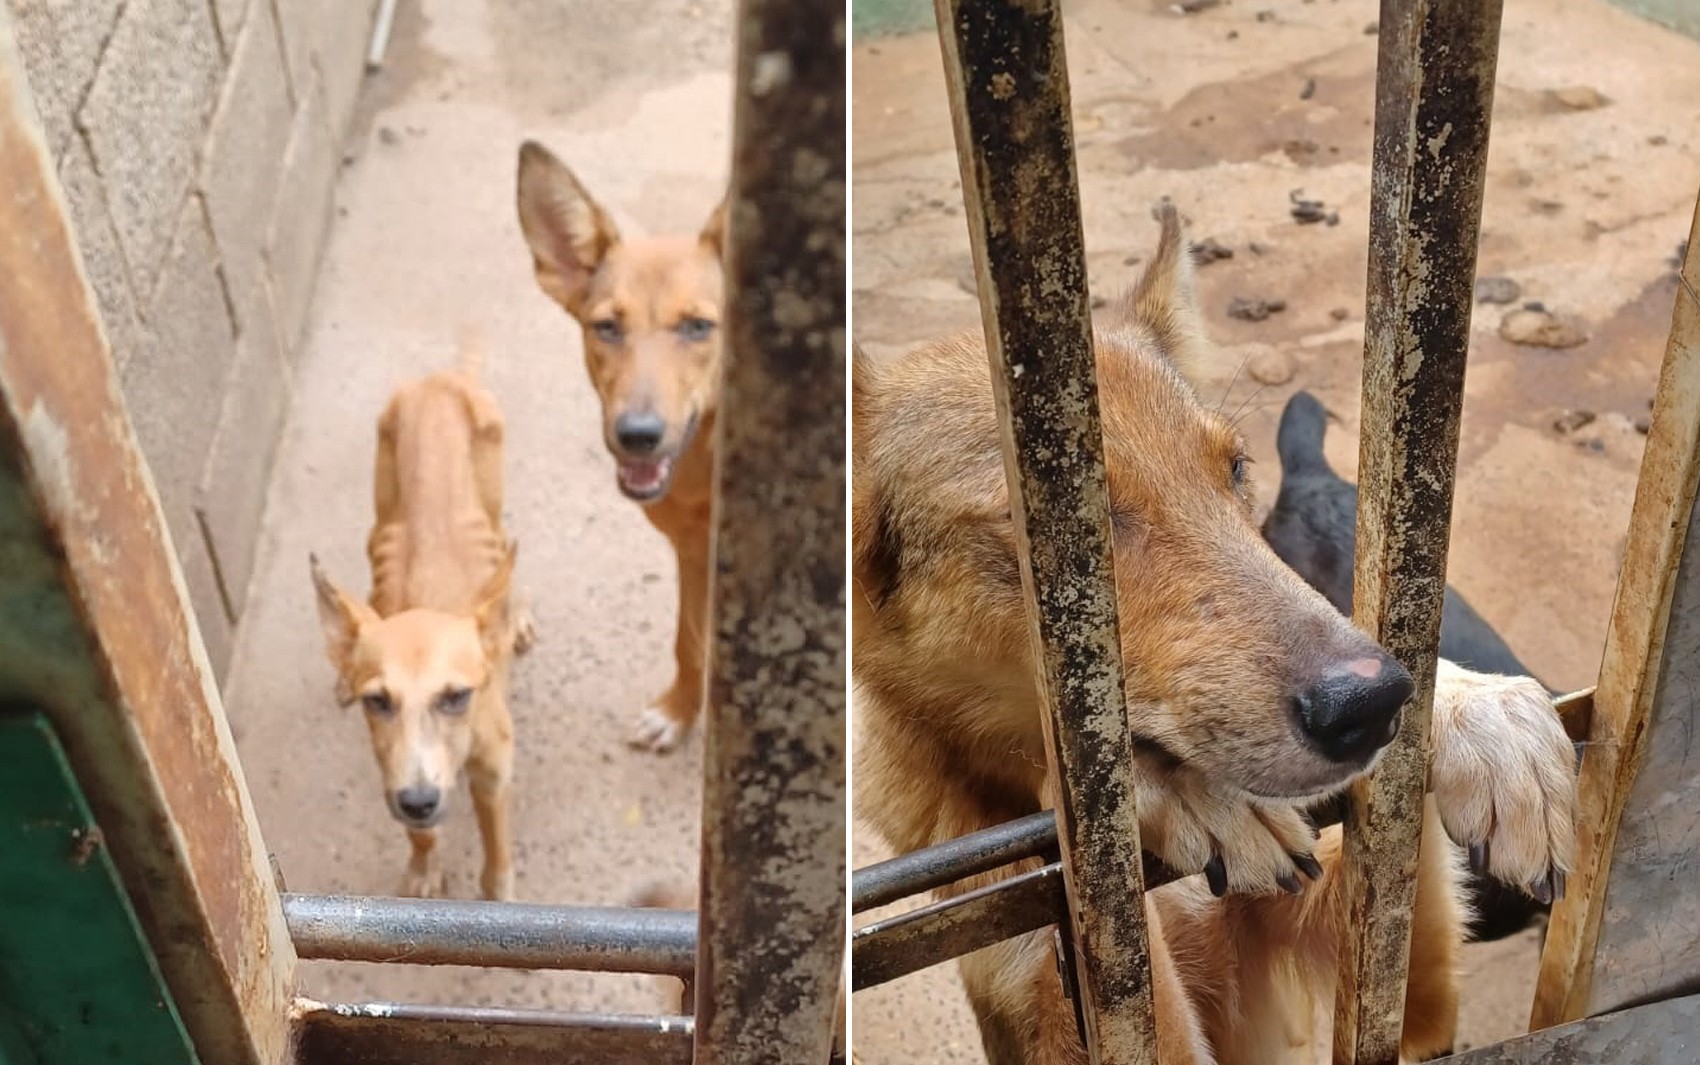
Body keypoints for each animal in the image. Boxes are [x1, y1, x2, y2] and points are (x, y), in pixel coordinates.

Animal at [312, 338, 533, 898]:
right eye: (378, 701)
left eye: (456, 697)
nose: (418, 802)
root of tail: (442, 379)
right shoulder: (390, 766)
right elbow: (420, 835)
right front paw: (423, 865)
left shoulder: (495, 771)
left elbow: (496, 855)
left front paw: (498, 893)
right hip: (380, 507)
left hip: (492, 502)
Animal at [516, 141, 731, 751]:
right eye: (606, 327)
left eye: (698, 326)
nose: (637, 435)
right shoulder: (693, 553)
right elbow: (688, 641)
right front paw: (680, 711)